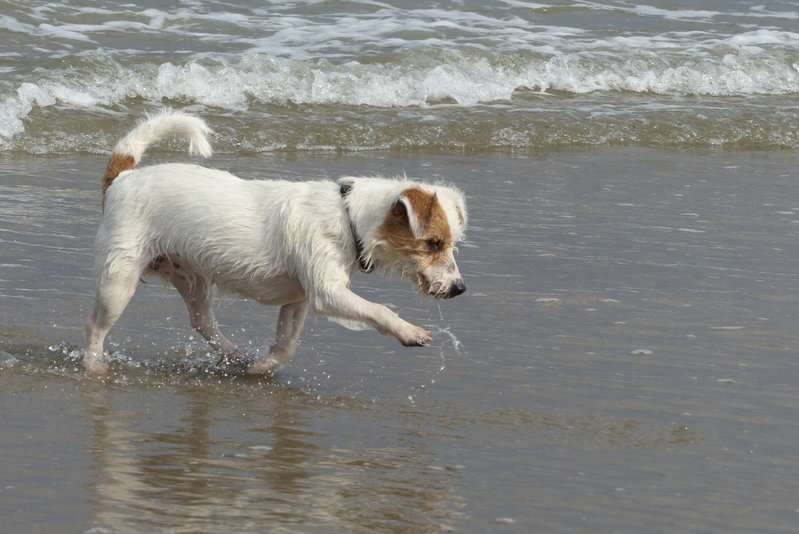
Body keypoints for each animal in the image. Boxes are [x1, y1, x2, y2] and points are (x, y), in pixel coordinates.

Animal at [81, 111, 468, 374]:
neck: (348, 218)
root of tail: (124, 177)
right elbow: (379, 310)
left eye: (450, 243)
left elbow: (287, 345)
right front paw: (409, 331)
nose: (459, 289)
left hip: (191, 277)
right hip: (119, 278)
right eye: (433, 243)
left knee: (202, 321)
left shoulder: (298, 299)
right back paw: (94, 365)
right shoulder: (327, 292)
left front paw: (262, 367)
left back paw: (235, 355)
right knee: (96, 325)